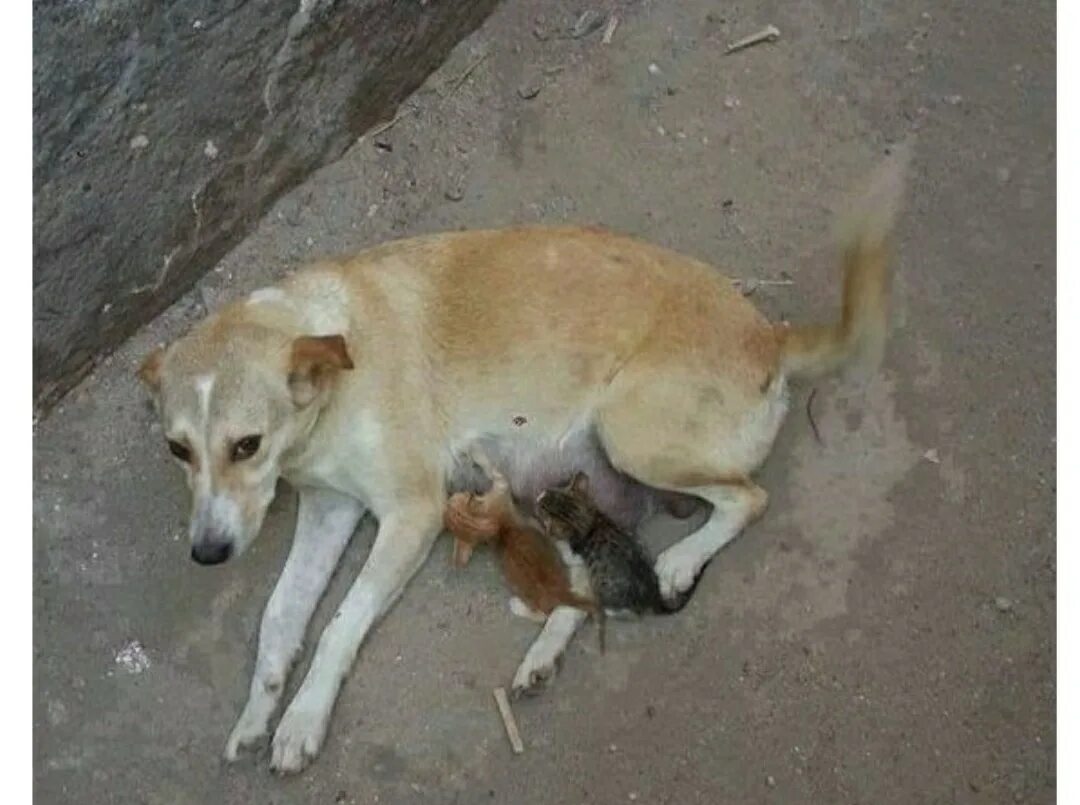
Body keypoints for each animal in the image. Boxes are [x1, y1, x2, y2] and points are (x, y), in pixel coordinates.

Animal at [533, 471, 699, 613]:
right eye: (549, 492)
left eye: (542, 507)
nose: (538, 496)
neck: (588, 519)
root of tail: (652, 597)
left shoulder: (576, 552)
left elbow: (566, 552)